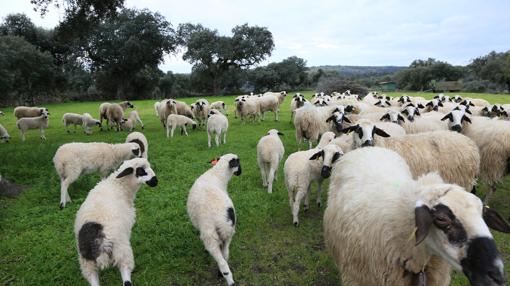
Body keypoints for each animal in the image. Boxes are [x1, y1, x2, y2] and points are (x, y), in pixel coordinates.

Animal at [74, 156, 157, 286]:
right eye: (141, 171)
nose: (155, 181)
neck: (117, 186)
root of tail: (100, 240)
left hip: (86, 261)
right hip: (121, 250)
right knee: (126, 278)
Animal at [186, 154, 242, 286]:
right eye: (238, 162)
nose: (240, 172)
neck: (216, 175)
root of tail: (221, 220)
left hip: (210, 236)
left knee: (222, 262)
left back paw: (228, 280)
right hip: (228, 234)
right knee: (225, 255)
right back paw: (221, 274)